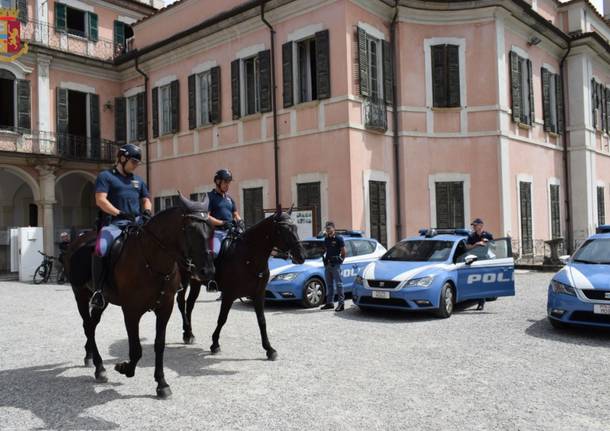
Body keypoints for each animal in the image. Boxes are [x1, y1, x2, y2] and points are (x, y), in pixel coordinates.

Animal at [65, 195, 213, 398]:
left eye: (210, 228)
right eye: (190, 229)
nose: (207, 270)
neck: (152, 261)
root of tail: (78, 241)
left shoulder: (165, 308)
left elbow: (159, 345)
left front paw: (161, 383)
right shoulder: (131, 311)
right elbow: (136, 349)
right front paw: (125, 368)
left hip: (102, 301)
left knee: (92, 326)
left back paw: (91, 358)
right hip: (80, 295)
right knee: (88, 326)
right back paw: (99, 367)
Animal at [208, 208, 304, 362]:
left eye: (295, 228)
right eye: (284, 229)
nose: (301, 256)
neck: (248, 258)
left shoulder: (258, 294)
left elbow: (262, 321)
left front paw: (269, 349)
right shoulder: (228, 295)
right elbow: (222, 319)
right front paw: (215, 344)